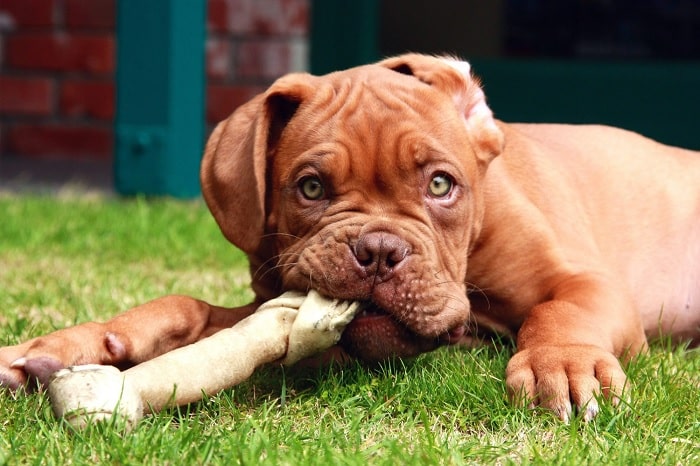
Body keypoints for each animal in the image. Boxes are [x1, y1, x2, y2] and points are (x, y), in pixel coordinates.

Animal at [1, 54, 700, 422]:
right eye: (310, 188)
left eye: (441, 184)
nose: (380, 251)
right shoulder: (280, 310)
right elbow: (187, 308)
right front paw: (68, 345)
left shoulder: (584, 281)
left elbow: (560, 311)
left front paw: (565, 363)